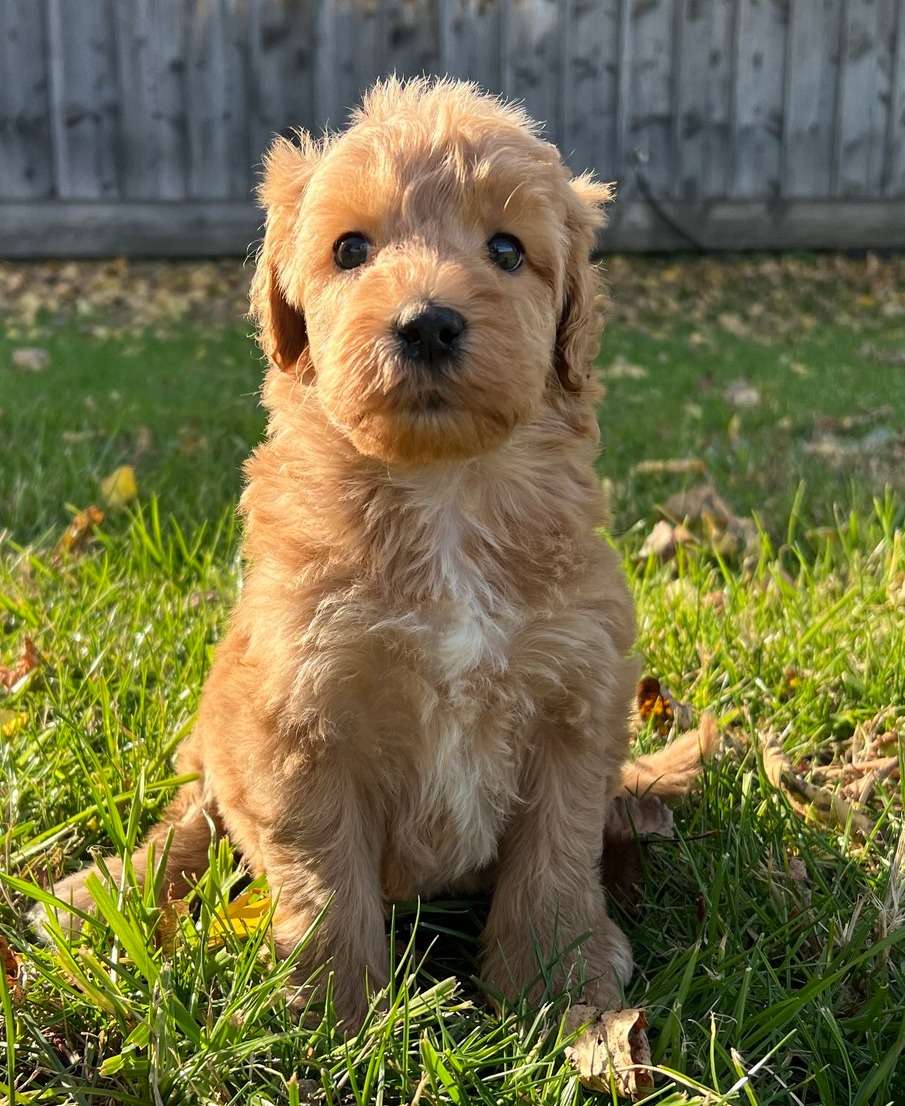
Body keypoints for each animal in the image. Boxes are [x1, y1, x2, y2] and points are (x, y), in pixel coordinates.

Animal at [33, 75, 690, 1026]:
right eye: (350, 250)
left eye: (506, 248)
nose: (427, 324)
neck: (443, 494)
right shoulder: (298, 721)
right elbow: (323, 882)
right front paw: (334, 1018)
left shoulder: (574, 703)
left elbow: (554, 861)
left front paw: (560, 991)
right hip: (216, 730)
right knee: (191, 821)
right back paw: (97, 894)